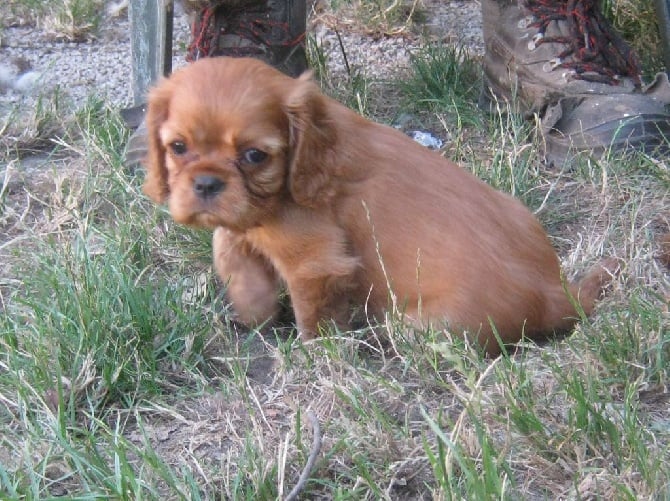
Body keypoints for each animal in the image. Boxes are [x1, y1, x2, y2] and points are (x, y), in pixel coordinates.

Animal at [144, 56, 616, 354]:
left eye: (254, 156)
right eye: (178, 147)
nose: (206, 184)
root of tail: (556, 291)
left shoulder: (317, 260)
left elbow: (313, 314)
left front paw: (313, 354)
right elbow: (231, 251)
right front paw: (253, 314)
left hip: (423, 325)